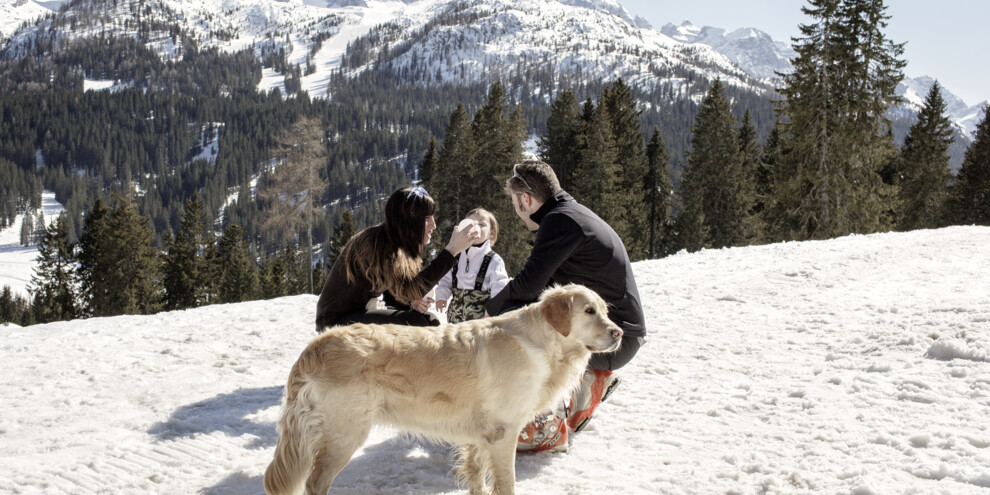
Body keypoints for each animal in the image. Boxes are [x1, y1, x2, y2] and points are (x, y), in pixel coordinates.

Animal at [264, 282, 620, 495]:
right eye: (589, 311)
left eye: (605, 310)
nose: (618, 333)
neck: (541, 343)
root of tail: (316, 346)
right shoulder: (503, 433)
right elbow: (505, 483)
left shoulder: (481, 435)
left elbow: (476, 472)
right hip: (345, 432)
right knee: (314, 482)